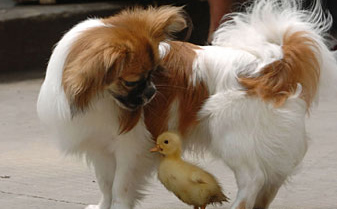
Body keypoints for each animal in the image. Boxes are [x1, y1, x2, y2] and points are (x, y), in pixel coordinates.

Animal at [36, 0, 336, 209]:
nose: (153, 92)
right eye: (134, 81)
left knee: (254, 179)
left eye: (152, 74)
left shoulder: (130, 149)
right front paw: (103, 206)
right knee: (271, 179)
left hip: (231, 136)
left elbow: (120, 186)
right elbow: (105, 185)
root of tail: (273, 68)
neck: (100, 97)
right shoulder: (101, 149)